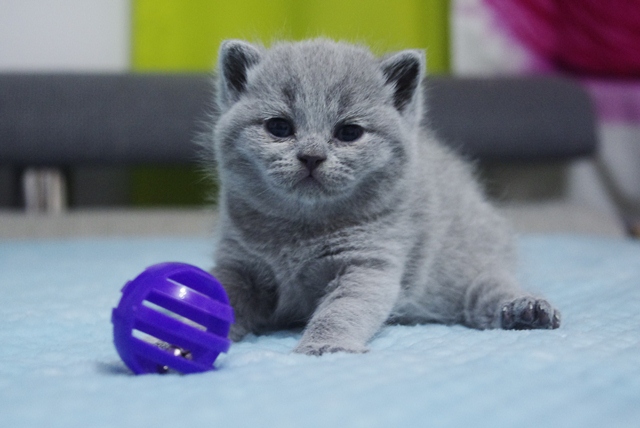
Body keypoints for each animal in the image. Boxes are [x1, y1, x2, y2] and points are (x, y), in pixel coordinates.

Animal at [208, 39, 560, 356]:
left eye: (349, 133)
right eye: (279, 127)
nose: (311, 156)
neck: (300, 229)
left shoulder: (369, 263)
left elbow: (342, 309)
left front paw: (325, 346)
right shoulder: (238, 265)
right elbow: (219, 297)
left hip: (471, 259)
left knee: (486, 289)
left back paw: (526, 310)